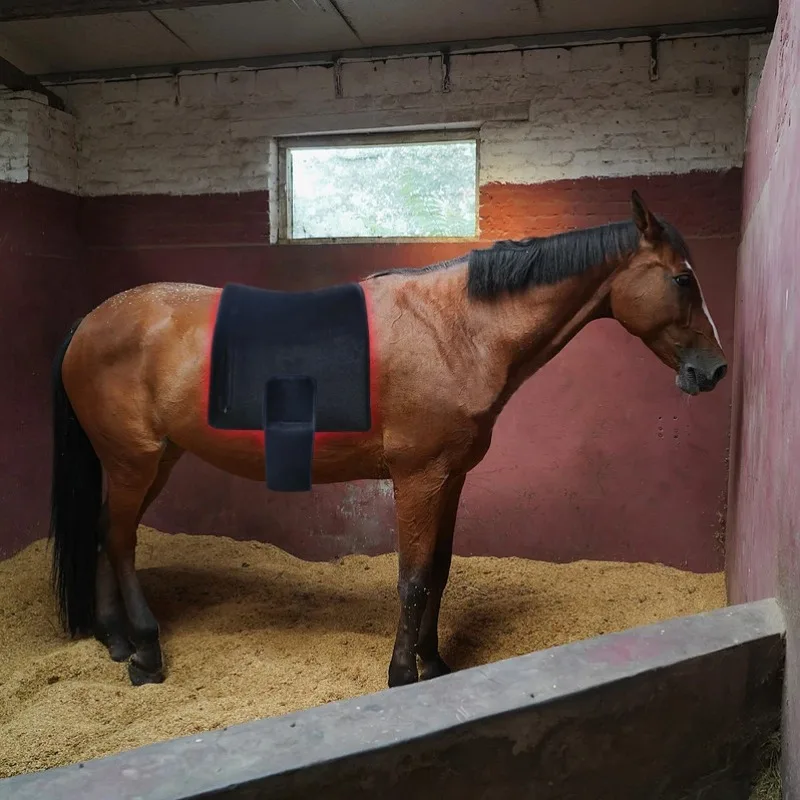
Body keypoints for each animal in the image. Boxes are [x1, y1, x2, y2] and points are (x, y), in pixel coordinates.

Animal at [48, 191, 727, 688]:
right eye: (682, 280)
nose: (714, 370)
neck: (455, 330)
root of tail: (89, 321)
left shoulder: (451, 477)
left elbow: (440, 571)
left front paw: (436, 663)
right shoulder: (417, 478)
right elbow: (413, 578)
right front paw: (403, 674)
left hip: (155, 460)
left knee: (109, 532)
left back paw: (116, 640)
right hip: (134, 461)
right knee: (120, 539)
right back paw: (146, 652)